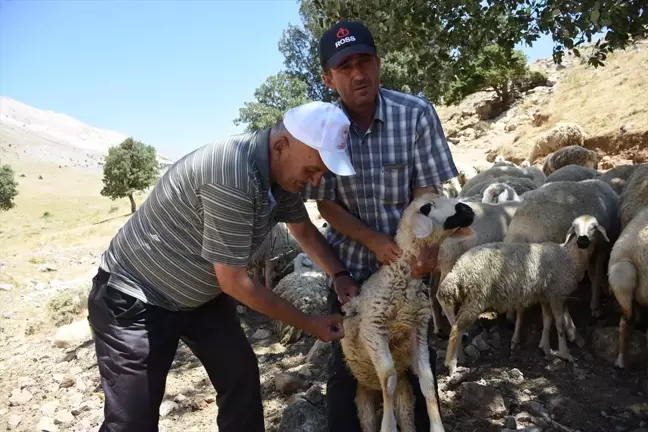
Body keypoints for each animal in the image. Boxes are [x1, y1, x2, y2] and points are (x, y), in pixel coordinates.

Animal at [342, 194, 474, 432]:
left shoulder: (417, 328)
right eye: (427, 207)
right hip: (363, 398)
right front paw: (387, 426)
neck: (402, 277)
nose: (467, 210)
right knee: (371, 414)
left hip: (404, 396)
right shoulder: (373, 329)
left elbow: (427, 380)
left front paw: (437, 426)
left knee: (405, 414)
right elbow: (389, 378)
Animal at [438, 216, 612, 374]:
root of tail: (459, 269)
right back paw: (451, 364)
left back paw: (458, 357)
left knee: (456, 324)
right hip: (477, 298)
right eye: (574, 227)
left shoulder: (546, 296)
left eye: (594, 227)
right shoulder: (557, 295)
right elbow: (560, 324)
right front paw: (565, 354)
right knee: (457, 328)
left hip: (471, 297)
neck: (568, 257)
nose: (582, 241)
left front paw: (546, 348)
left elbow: (547, 320)